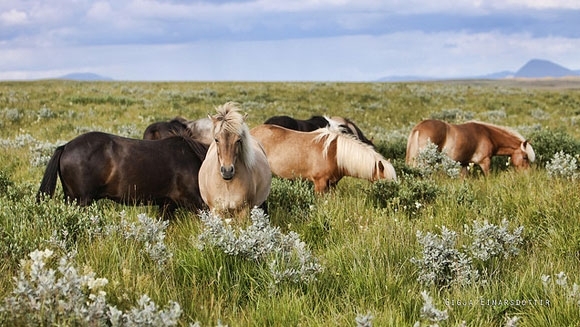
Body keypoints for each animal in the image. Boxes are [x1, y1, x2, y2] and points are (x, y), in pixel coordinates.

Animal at [406, 120, 536, 176]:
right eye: (525, 157)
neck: (488, 135)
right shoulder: (485, 162)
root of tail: (418, 128)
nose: (528, 174)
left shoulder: (464, 164)